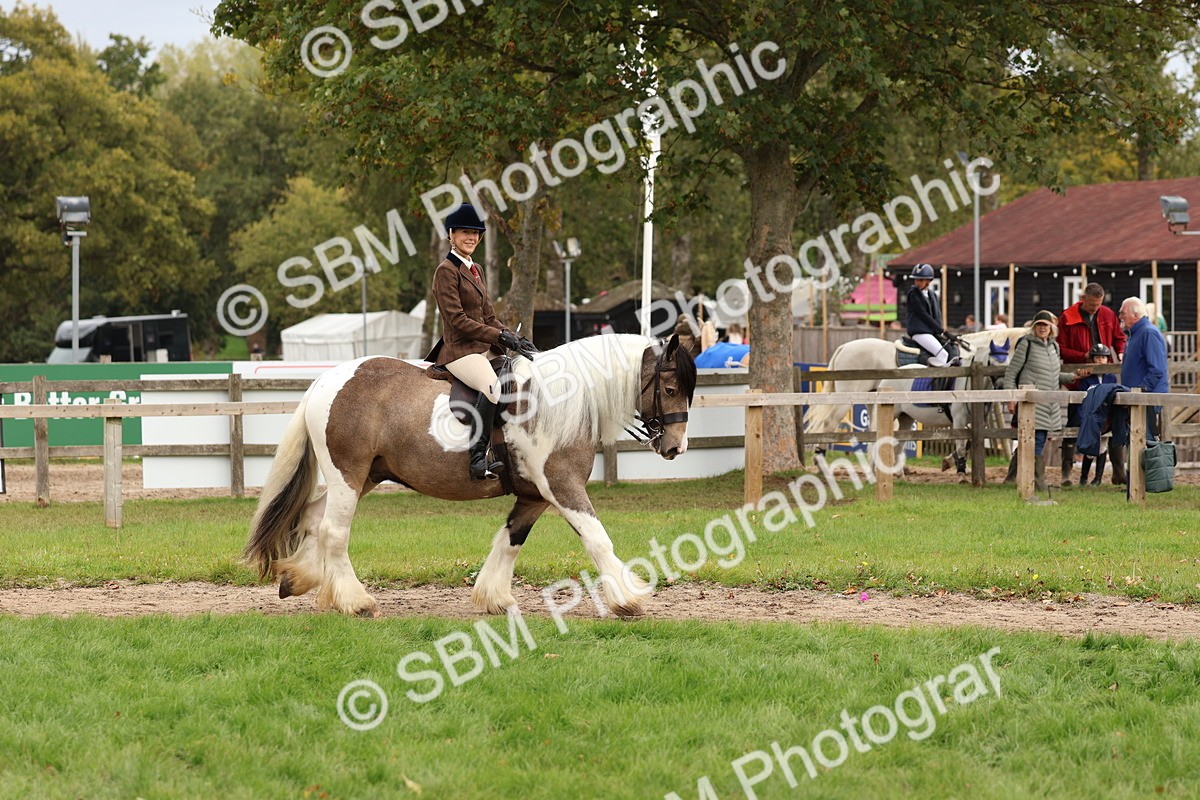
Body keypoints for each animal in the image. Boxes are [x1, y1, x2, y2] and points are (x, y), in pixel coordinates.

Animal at [243, 333, 697, 619]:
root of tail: (326, 380)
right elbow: (598, 540)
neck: (563, 398)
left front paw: (495, 599)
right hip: (348, 476)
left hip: (365, 476)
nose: (676, 447)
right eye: (671, 389)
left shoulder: (535, 495)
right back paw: (356, 602)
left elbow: (510, 541)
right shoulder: (563, 486)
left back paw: (301, 579)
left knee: (312, 518)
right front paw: (628, 600)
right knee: (334, 532)